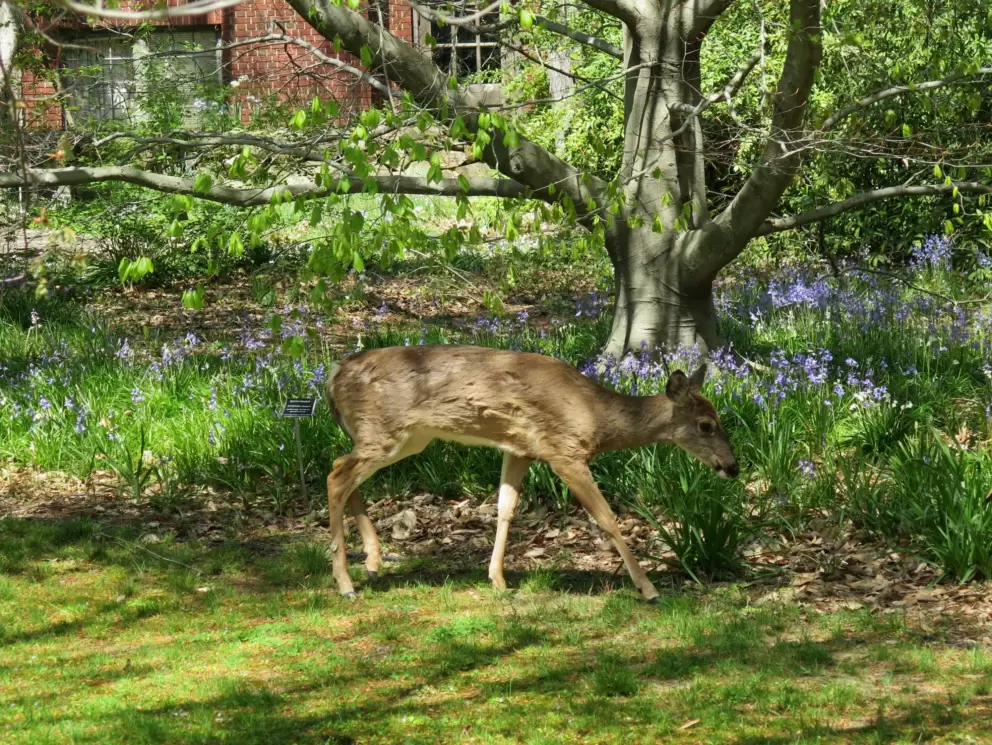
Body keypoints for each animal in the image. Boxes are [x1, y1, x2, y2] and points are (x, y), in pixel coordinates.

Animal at [324, 344, 739, 603]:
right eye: (705, 425)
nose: (732, 467)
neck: (594, 415)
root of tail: (334, 375)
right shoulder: (563, 451)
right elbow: (606, 518)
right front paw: (648, 589)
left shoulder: (519, 449)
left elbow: (505, 509)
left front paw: (498, 579)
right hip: (385, 429)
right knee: (337, 475)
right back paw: (346, 583)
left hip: (405, 438)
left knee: (342, 472)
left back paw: (373, 564)